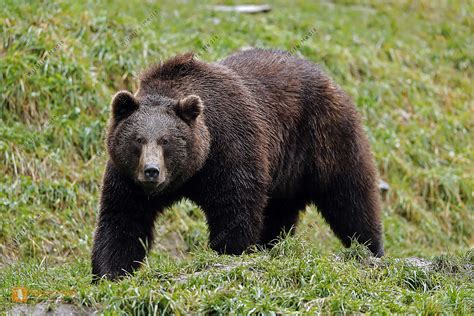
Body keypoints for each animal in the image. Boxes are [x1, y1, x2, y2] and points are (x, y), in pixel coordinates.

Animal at [90, 48, 384, 282]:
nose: (152, 171)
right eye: (138, 140)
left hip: (324, 138)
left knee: (350, 197)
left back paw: (370, 249)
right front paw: (109, 272)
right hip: (284, 175)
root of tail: (328, 77)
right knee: (278, 212)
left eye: (166, 141)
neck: (192, 172)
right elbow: (123, 219)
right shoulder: (127, 179)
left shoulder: (230, 150)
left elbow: (235, 208)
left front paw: (230, 252)